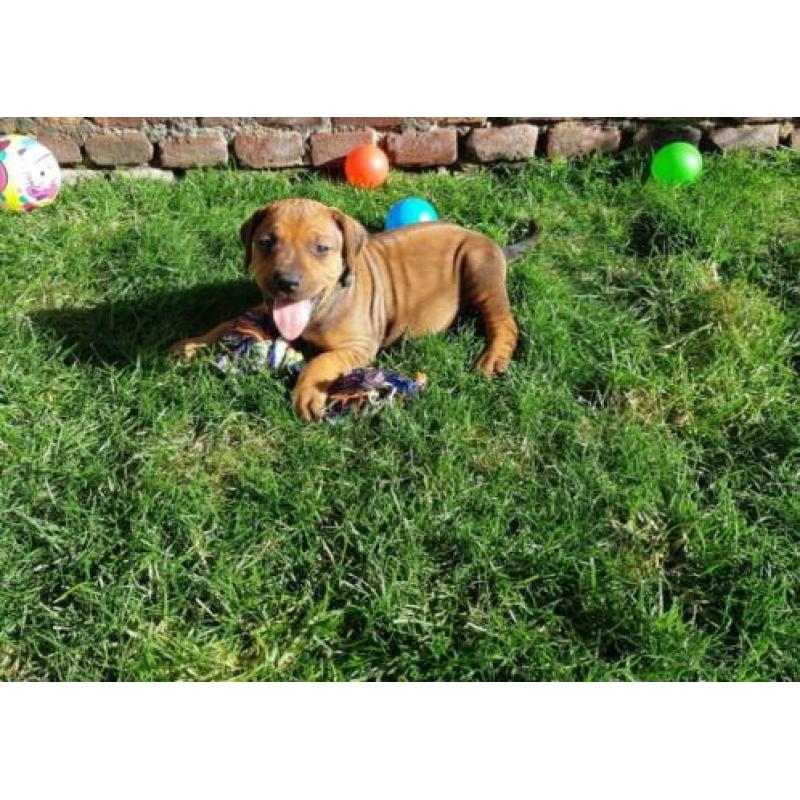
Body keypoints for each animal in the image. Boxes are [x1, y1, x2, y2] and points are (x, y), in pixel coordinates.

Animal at [175, 198, 536, 418]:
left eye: (321, 248)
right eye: (266, 243)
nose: (286, 282)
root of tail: (494, 245)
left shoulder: (358, 345)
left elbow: (321, 360)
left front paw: (307, 392)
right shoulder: (266, 309)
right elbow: (228, 323)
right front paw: (192, 344)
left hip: (479, 268)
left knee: (504, 323)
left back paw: (493, 357)